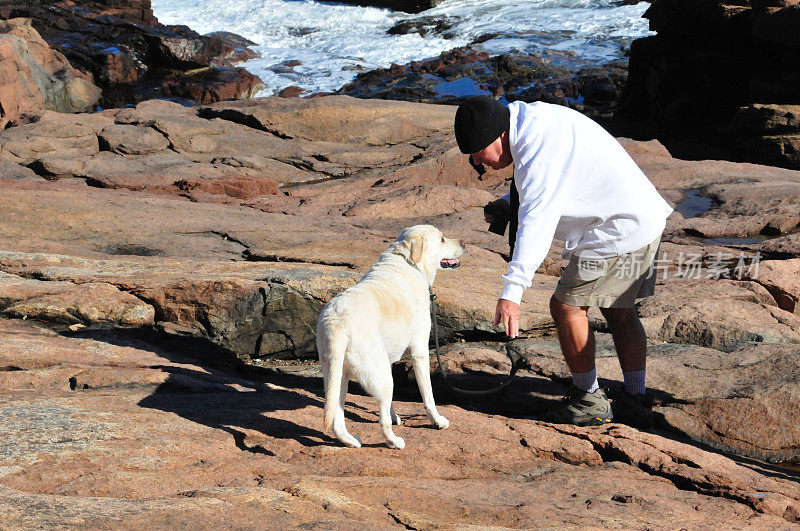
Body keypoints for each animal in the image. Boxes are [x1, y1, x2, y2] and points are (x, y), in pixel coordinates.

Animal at [316, 224, 466, 448]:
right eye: (441, 239)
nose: (464, 243)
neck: (409, 261)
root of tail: (337, 324)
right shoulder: (420, 352)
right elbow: (428, 396)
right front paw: (437, 421)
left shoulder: (386, 359)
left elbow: (389, 406)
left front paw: (396, 416)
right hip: (382, 378)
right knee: (382, 422)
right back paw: (394, 441)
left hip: (337, 376)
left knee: (337, 419)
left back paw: (351, 441)